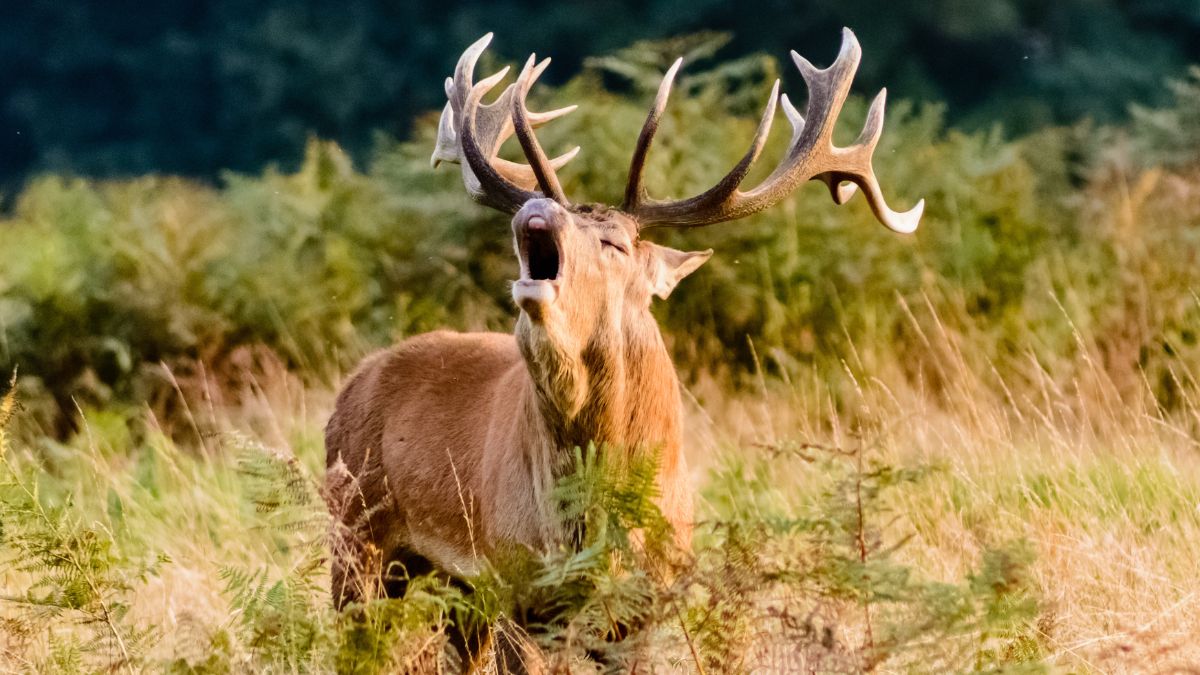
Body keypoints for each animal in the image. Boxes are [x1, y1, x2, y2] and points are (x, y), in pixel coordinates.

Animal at [324, 29, 922, 671]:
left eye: (614, 242)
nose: (535, 209)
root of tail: (350, 385)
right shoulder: (515, 580)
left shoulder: (648, 601)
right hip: (355, 541)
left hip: (446, 587)